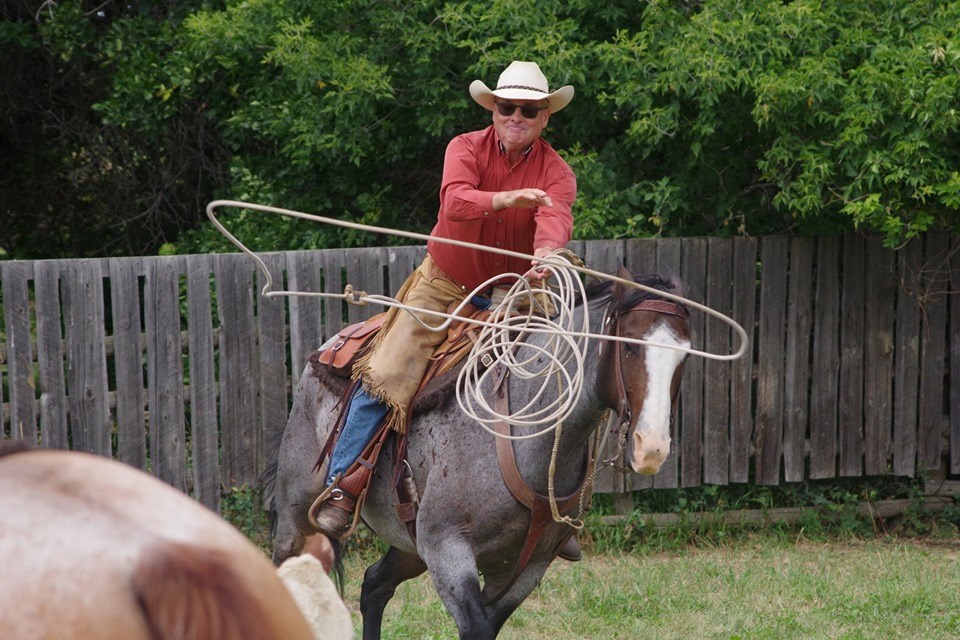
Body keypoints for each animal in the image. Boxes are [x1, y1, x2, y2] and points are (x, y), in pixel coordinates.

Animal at [268, 266, 688, 640]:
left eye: (684, 356)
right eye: (629, 346)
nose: (651, 447)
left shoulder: (526, 568)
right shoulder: (447, 550)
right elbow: (475, 628)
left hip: (410, 543)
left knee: (374, 586)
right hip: (298, 519)